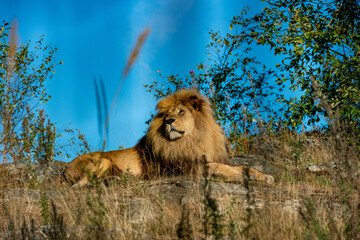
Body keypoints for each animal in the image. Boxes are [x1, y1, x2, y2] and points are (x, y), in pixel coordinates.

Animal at [60, 88, 272, 188]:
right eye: (167, 114)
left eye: (181, 111)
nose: (169, 121)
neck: (191, 140)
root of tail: (65, 169)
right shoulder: (188, 168)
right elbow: (222, 168)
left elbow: (242, 167)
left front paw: (264, 176)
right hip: (102, 161)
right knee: (79, 185)